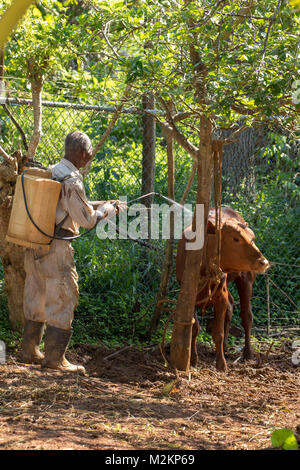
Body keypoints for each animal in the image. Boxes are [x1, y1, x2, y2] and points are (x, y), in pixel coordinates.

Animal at [175, 207, 268, 372]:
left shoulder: (220, 296)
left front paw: (221, 364)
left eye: (253, 238)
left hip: (246, 278)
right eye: (236, 239)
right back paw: (224, 348)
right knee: (231, 306)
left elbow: (218, 333)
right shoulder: (189, 294)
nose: (263, 261)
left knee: (246, 315)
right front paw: (193, 359)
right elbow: (194, 328)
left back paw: (247, 353)